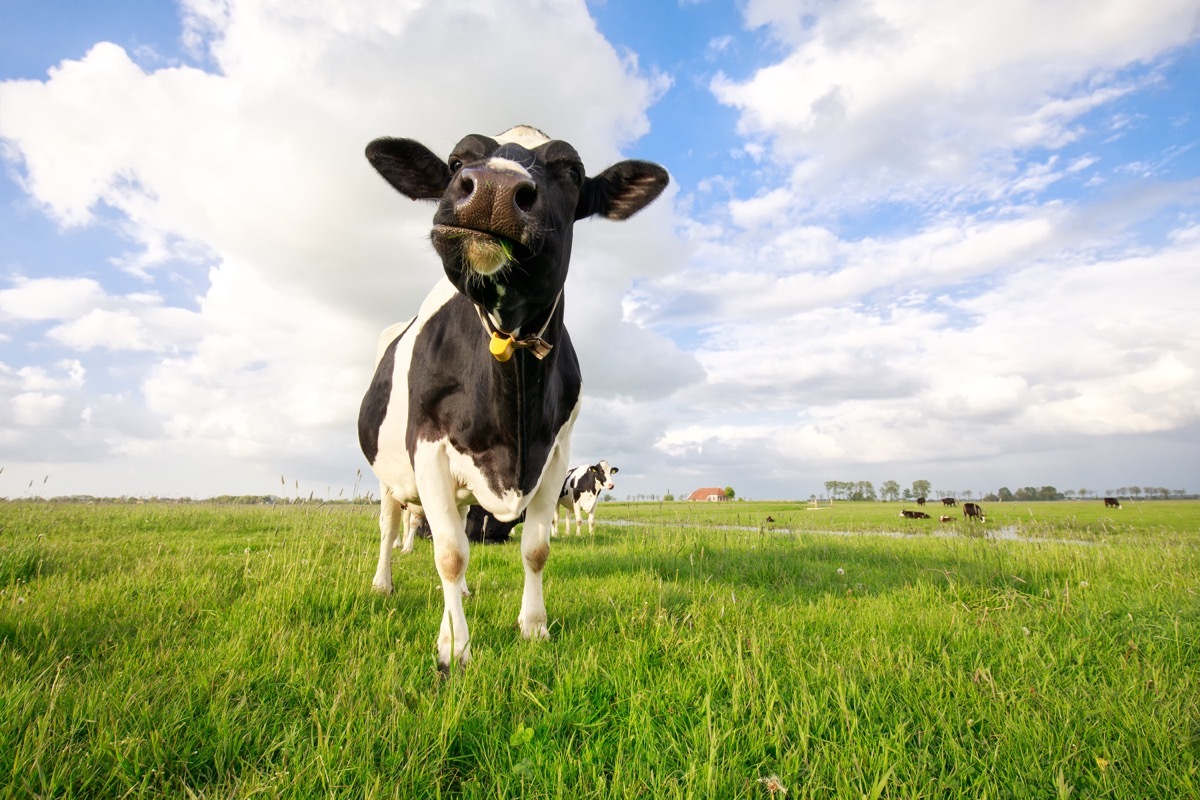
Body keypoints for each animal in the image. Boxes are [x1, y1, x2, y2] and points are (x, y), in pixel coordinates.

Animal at [357, 125, 668, 670]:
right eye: (456, 160)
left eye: (572, 171)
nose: (493, 189)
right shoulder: (429, 448)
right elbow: (448, 554)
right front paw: (456, 647)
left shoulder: (553, 454)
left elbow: (534, 549)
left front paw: (534, 627)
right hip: (388, 475)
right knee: (390, 526)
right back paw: (383, 583)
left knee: (459, 524)